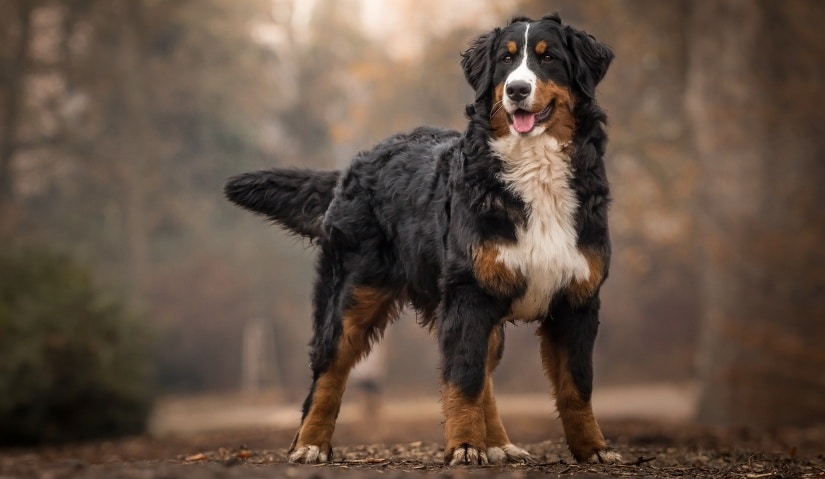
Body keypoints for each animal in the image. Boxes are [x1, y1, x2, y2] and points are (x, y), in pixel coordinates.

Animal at [222, 13, 616, 466]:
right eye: (505, 60)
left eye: (548, 58)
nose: (516, 90)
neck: (535, 171)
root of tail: (355, 165)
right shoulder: (467, 294)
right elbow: (463, 380)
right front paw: (465, 446)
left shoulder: (577, 298)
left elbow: (576, 386)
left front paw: (593, 449)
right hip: (351, 295)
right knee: (329, 372)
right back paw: (310, 443)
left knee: (485, 375)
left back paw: (498, 443)